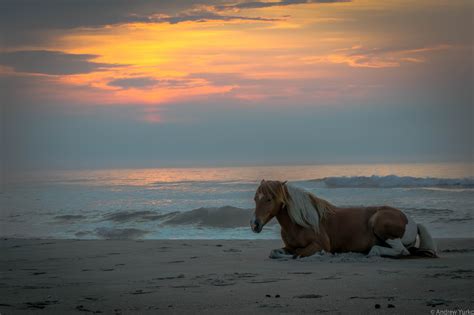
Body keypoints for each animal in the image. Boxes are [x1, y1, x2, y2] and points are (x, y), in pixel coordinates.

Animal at [250, 180, 438, 260]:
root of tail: (412, 222)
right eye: (255, 198)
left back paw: (372, 252)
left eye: (269, 199)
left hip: (380, 223)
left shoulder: (319, 245)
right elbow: (276, 252)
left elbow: (299, 254)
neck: (301, 223)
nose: (254, 224)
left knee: (401, 251)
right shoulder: (289, 247)